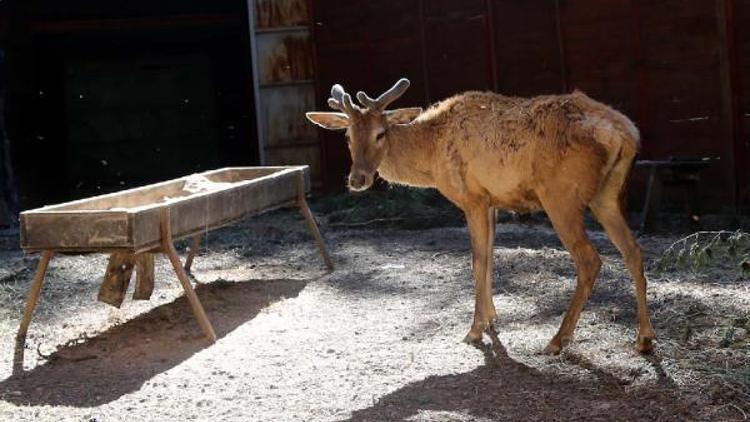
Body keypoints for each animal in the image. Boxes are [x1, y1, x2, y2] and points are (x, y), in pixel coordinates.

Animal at [306, 78, 656, 352]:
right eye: (348, 136)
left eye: (381, 132)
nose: (358, 179)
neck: (431, 157)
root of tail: (626, 134)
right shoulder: (491, 201)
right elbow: (489, 257)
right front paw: (491, 320)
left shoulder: (471, 197)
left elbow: (477, 259)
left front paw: (474, 330)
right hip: (606, 196)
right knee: (634, 251)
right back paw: (644, 338)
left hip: (561, 197)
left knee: (590, 259)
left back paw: (558, 339)